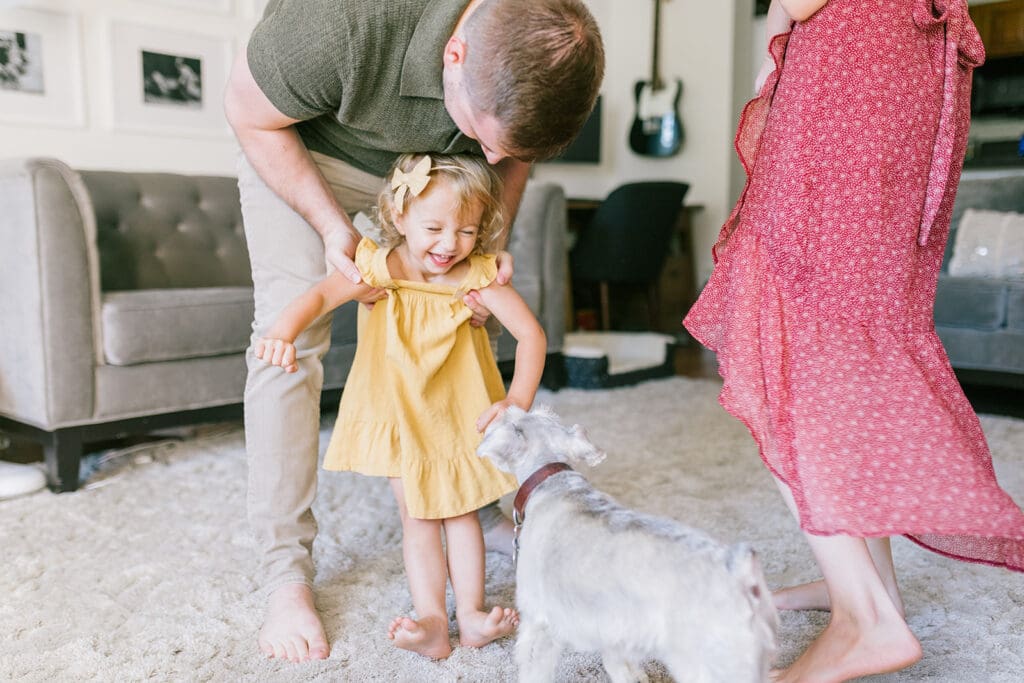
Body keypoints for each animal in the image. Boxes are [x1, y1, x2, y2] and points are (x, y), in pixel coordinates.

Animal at [479, 405, 774, 683]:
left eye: (514, 418)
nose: (504, 408)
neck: (553, 483)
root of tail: (738, 570)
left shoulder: (538, 621)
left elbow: (534, 669)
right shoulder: (615, 626)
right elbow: (620, 664)